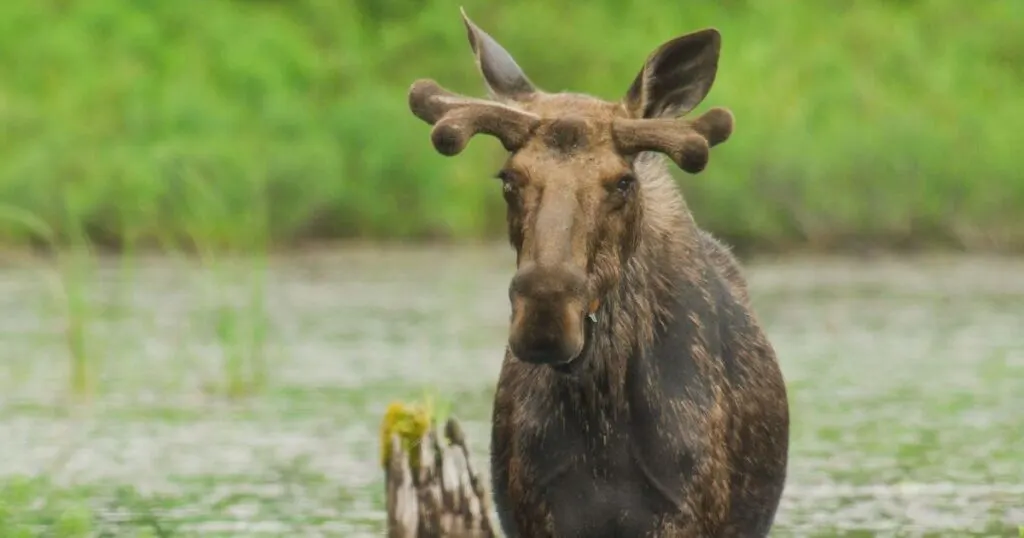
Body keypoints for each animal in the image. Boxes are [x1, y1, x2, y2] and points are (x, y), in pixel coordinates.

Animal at [403, 9, 786, 536]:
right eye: (509, 178)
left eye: (623, 182)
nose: (545, 315)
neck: (603, 419)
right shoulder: (537, 513)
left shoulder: (686, 512)